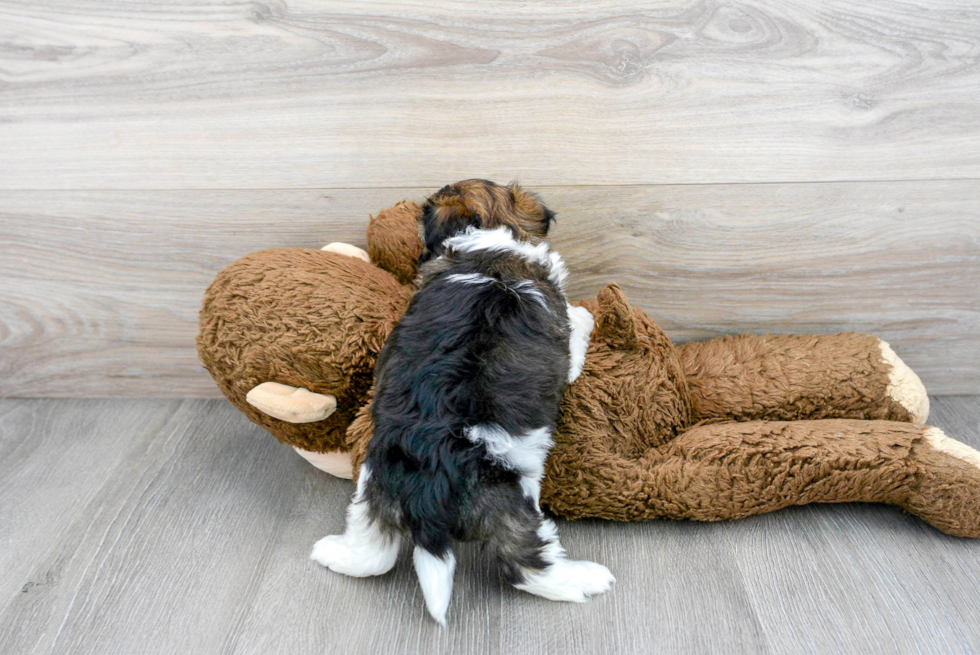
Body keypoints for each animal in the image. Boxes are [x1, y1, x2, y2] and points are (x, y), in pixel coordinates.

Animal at [312, 178, 612, 624]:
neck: (486, 245)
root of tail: (428, 486)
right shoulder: (563, 328)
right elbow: (579, 323)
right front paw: (588, 317)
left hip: (375, 484)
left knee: (374, 549)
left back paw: (332, 553)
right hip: (508, 503)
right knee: (527, 565)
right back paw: (586, 578)